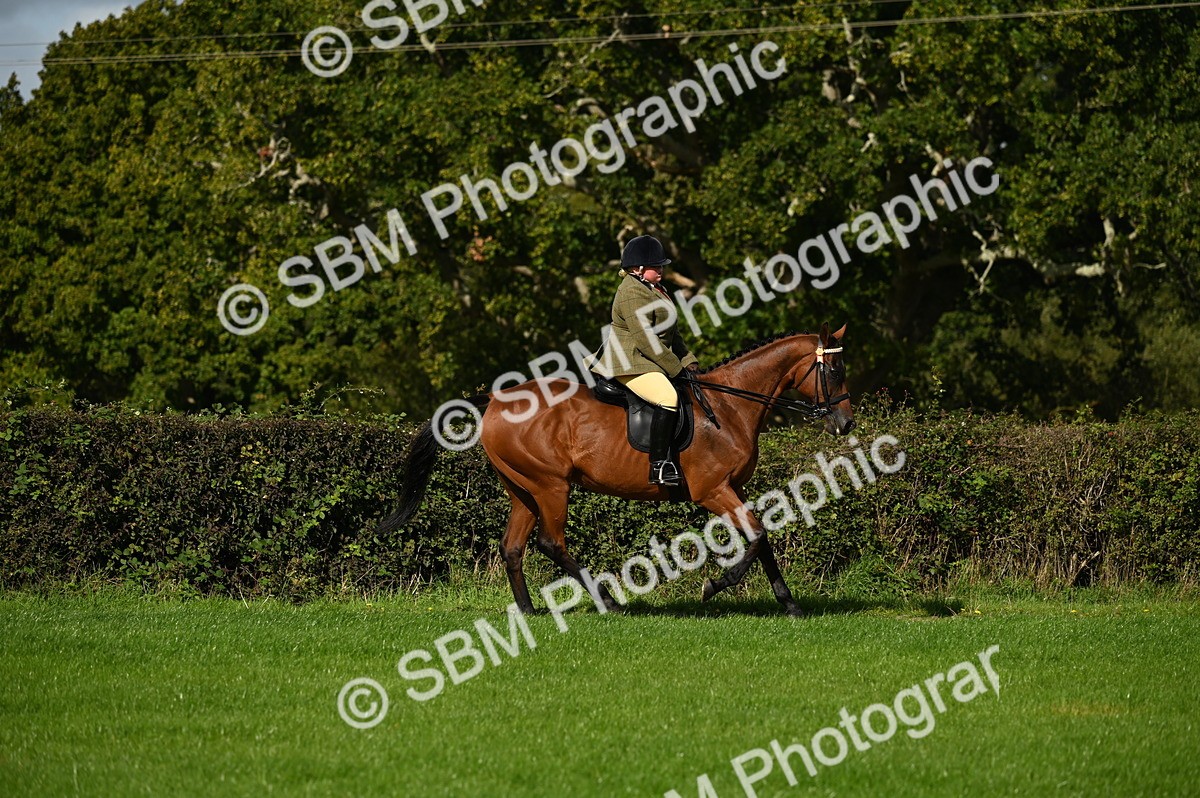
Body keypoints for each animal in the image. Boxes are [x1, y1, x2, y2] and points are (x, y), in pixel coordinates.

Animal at [379, 322, 854, 617]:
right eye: (833, 370)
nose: (845, 423)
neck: (729, 406)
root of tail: (496, 400)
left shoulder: (734, 488)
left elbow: (763, 538)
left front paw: (789, 604)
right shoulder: (713, 490)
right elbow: (756, 536)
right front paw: (715, 585)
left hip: (522, 489)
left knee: (512, 547)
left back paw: (529, 609)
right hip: (550, 486)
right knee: (551, 542)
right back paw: (607, 601)